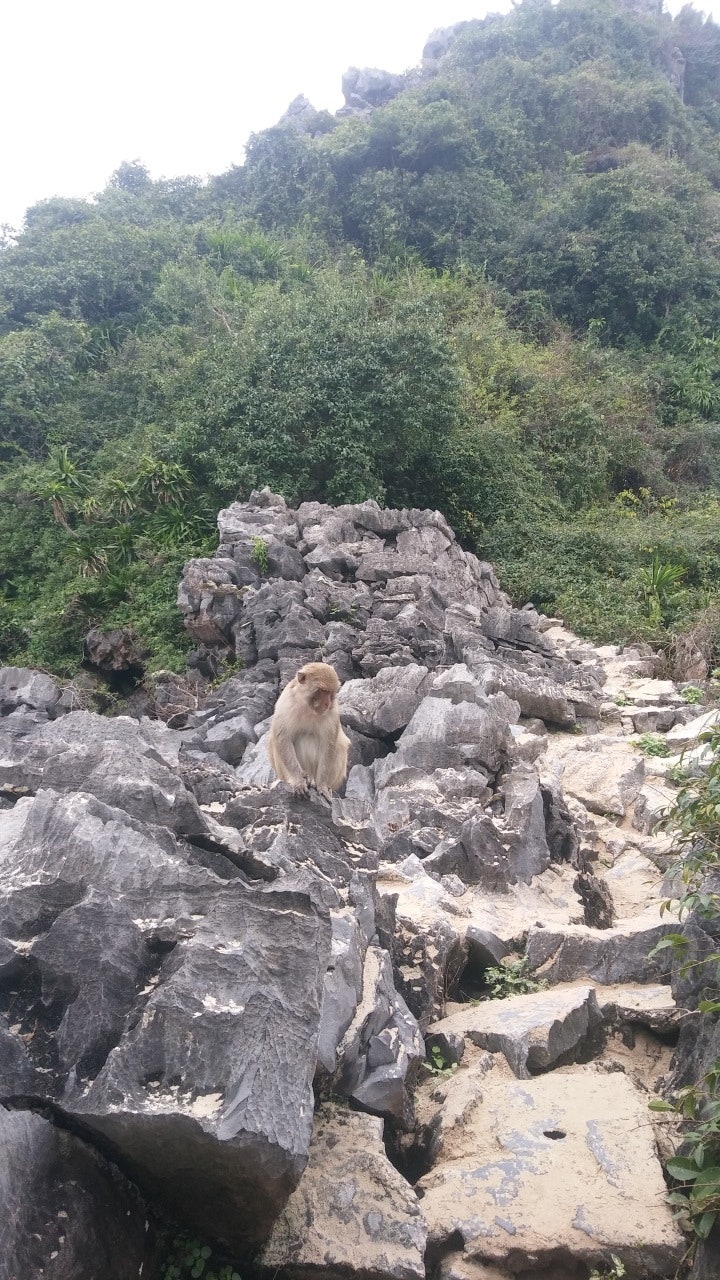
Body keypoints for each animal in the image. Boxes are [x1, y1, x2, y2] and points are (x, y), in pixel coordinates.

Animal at [267, 660, 348, 798]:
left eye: (331, 692)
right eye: (322, 690)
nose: (327, 704)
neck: (307, 707)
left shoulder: (333, 713)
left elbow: (329, 745)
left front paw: (322, 785)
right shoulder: (285, 704)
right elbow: (283, 738)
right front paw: (298, 780)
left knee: (340, 744)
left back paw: (317, 782)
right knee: (275, 740)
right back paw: (302, 778)